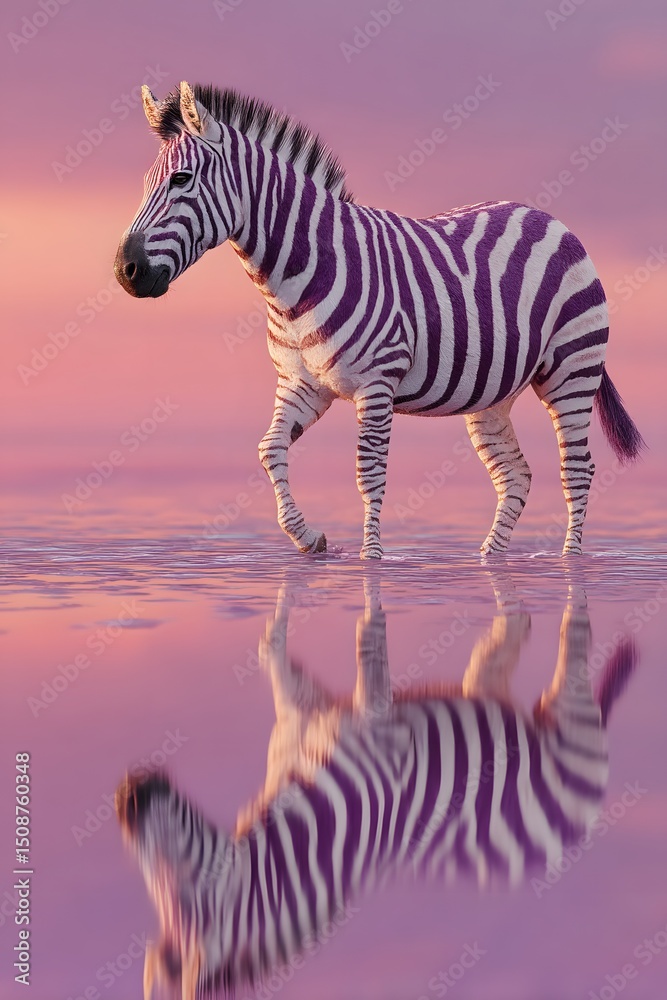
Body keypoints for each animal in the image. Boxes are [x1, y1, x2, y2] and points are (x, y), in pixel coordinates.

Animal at [114, 81, 645, 560]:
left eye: (181, 180)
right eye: (144, 184)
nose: (125, 270)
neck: (296, 281)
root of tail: (550, 219)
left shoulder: (376, 382)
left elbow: (368, 472)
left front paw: (371, 560)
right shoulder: (302, 383)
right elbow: (270, 450)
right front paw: (308, 539)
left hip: (571, 371)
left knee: (577, 469)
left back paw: (570, 562)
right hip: (494, 394)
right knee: (516, 475)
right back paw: (489, 560)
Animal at [115, 573, 636, 998]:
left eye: (183, 894)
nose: (124, 797)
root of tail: (564, 844)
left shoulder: (379, 725)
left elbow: (367, 638)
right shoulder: (302, 714)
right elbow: (273, 650)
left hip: (571, 713)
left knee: (575, 648)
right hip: (494, 700)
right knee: (496, 667)